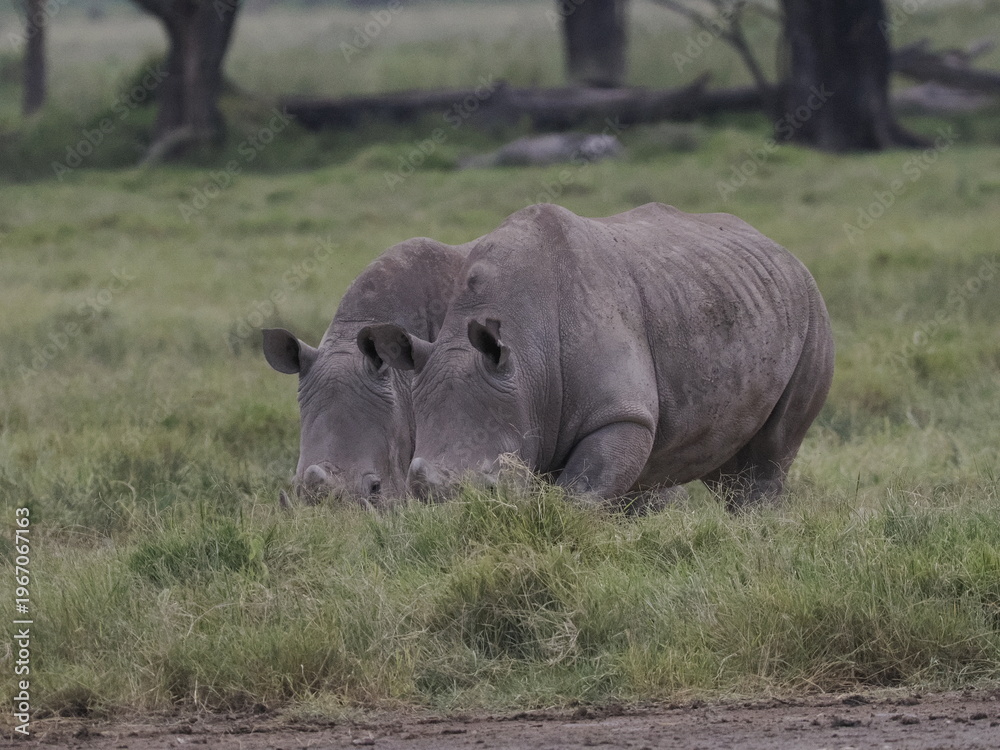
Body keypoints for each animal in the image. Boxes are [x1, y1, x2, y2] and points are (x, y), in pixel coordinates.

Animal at [363, 203, 834, 509]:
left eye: (494, 486)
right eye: (414, 489)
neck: (527, 361)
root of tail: (784, 251)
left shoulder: (620, 414)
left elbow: (579, 497)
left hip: (812, 309)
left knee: (770, 455)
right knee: (726, 463)